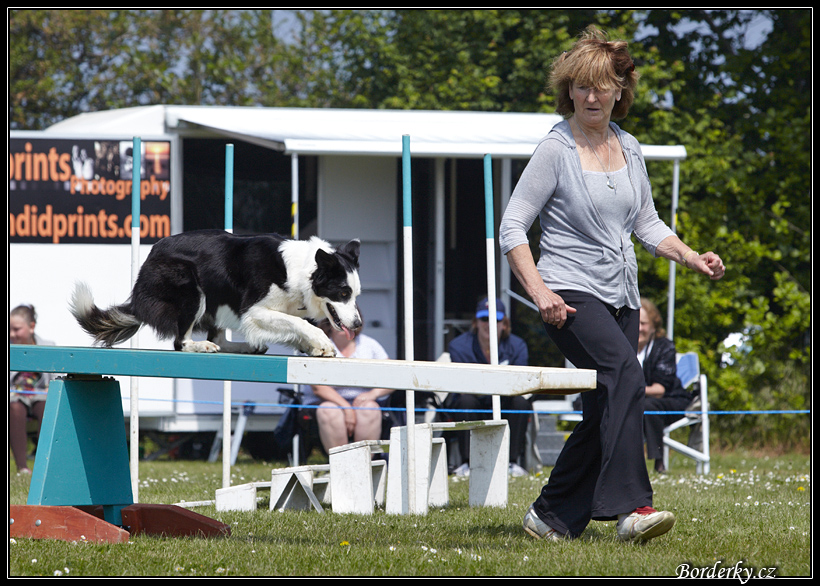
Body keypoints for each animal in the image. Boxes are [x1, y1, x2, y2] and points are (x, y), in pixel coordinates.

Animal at [70, 229, 362, 356]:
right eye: (343, 293)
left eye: (356, 294)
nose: (358, 324)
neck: (302, 272)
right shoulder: (253, 311)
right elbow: (300, 323)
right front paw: (321, 341)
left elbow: (294, 324)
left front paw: (311, 346)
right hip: (192, 289)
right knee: (180, 342)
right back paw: (200, 345)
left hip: (218, 298)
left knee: (218, 336)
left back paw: (245, 347)